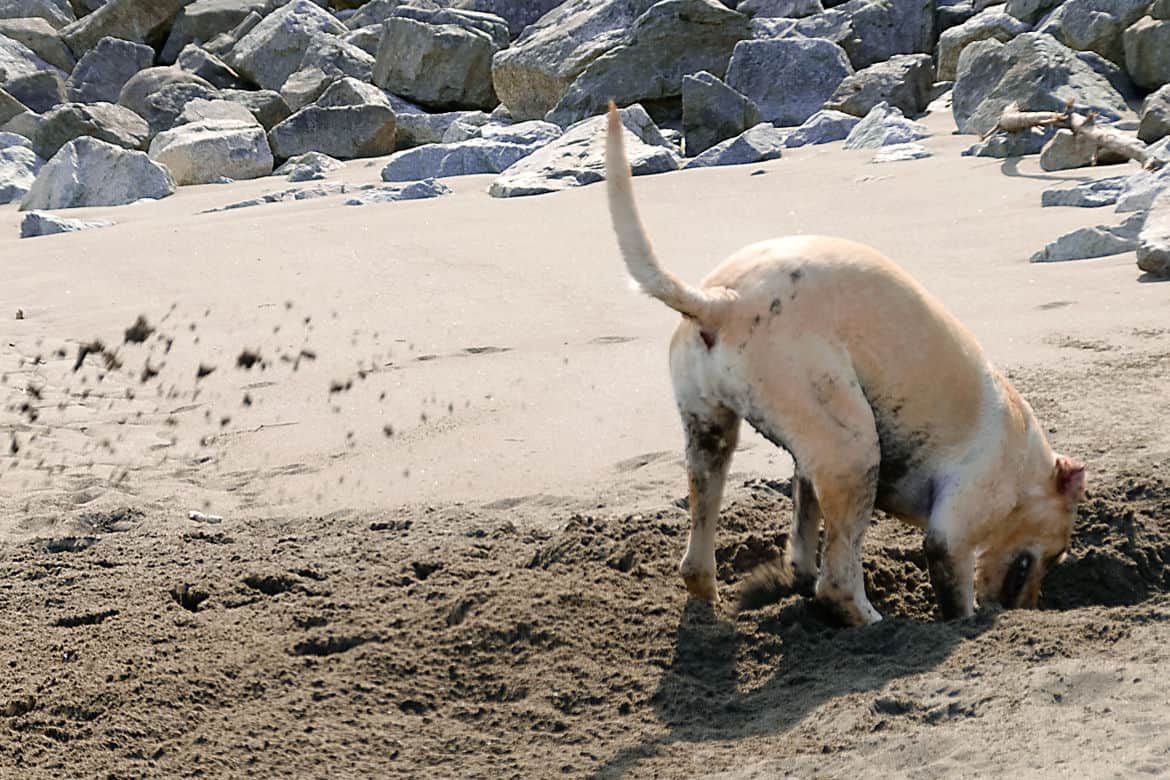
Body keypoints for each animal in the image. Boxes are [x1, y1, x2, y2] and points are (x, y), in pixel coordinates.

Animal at [603, 105, 1085, 626]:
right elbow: (956, 599)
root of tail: (721, 302)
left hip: (714, 434)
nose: (1033, 607)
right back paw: (875, 624)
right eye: (1058, 553)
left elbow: (802, 529)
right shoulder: (951, 535)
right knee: (837, 584)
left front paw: (793, 575)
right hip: (854, 451)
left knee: (699, 558)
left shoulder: (807, 469)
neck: (1026, 468)